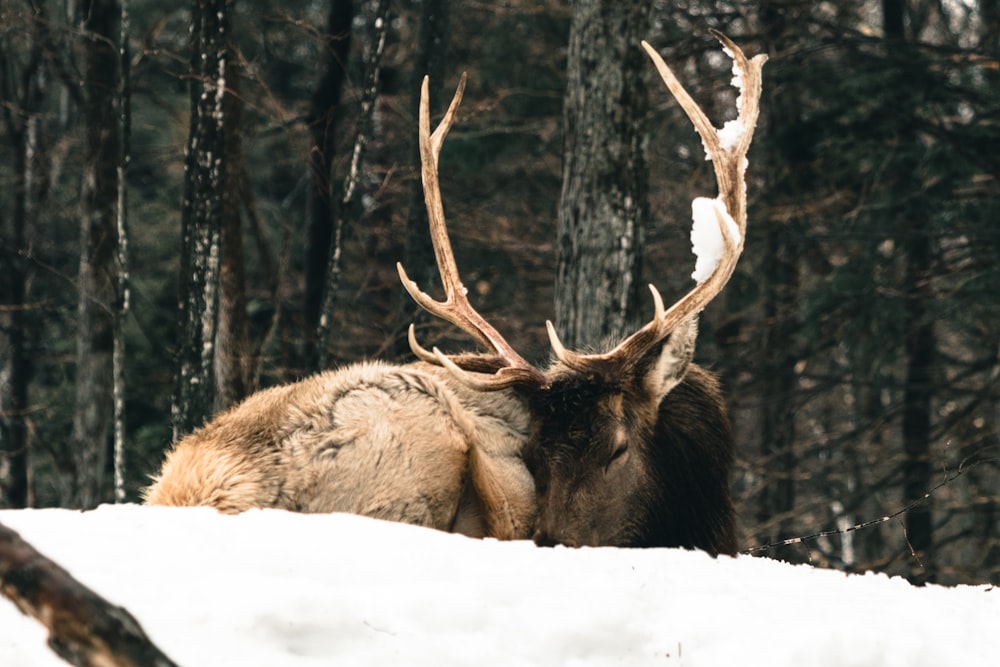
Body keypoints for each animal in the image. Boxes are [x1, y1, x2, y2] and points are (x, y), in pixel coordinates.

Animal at [143, 32, 764, 560]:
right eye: (534, 457)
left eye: (617, 448)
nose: (550, 543)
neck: (708, 507)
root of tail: (201, 495)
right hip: (420, 440)